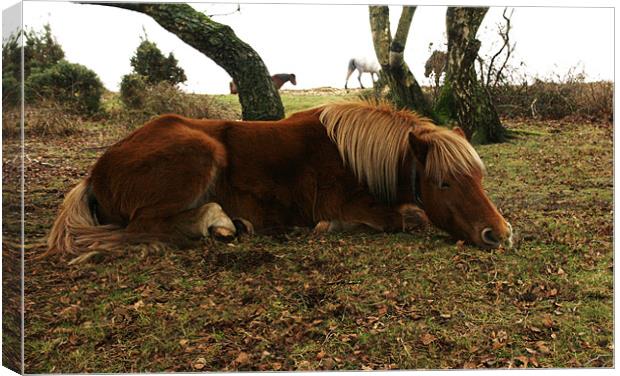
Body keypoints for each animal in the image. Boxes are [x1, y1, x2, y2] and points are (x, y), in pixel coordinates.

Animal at [46, 100, 512, 258]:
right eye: (444, 183)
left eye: (478, 176)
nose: (500, 234)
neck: (351, 154)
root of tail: (97, 171)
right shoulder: (345, 203)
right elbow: (410, 215)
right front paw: (327, 228)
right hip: (200, 152)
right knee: (145, 226)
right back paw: (216, 221)